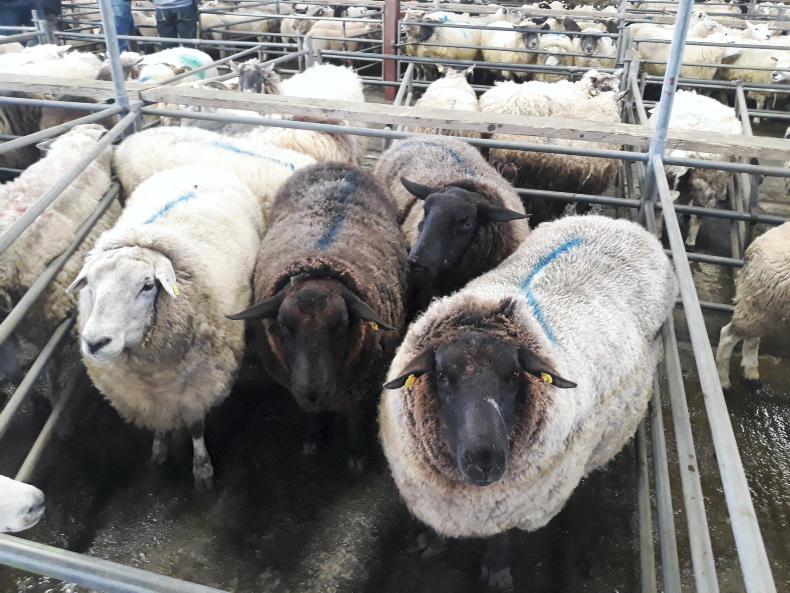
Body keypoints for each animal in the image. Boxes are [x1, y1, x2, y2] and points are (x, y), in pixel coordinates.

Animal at [68, 165, 264, 489]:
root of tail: (195, 166)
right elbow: (158, 424)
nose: (95, 342)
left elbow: (196, 427)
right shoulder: (147, 398)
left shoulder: (199, 387)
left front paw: (202, 469)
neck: (153, 377)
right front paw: (159, 449)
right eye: (91, 284)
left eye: (147, 285)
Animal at [228, 163, 408, 469]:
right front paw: (312, 439)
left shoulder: (359, 387)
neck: (318, 264)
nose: (313, 394)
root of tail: (336, 166)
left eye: (342, 325)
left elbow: (354, 417)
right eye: (284, 325)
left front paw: (356, 453)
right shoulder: (295, 385)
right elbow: (308, 415)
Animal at [380, 215, 677, 590]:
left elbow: (501, 535)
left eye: (515, 375)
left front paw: (497, 569)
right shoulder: (437, 498)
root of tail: (619, 221)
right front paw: (432, 543)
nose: (485, 461)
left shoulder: (516, 503)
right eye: (443, 375)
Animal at [716, 222, 790, 390]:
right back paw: (724, 383)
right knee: (728, 335)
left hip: (762, 301)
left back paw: (750, 375)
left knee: (752, 337)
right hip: (765, 299)